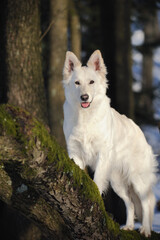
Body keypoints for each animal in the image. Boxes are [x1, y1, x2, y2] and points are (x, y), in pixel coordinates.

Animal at [62, 49, 158, 237]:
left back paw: (145, 229)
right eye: (77, 83)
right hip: (117, 182)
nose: (84, 97)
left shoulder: (102, 155)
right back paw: (129, 226)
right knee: (130, 202)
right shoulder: (75, 154)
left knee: (147, 201)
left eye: (91, 82)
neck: (85, 117)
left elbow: (97, 181)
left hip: (137, 178)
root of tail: (141, 133)